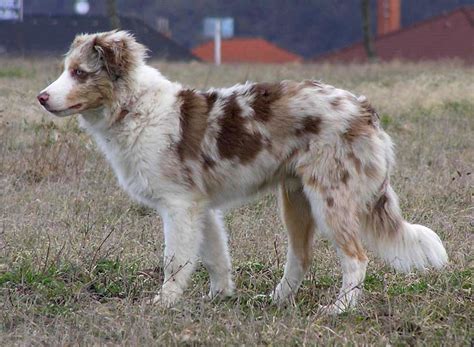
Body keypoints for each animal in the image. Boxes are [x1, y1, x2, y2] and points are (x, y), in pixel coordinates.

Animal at [38, 31, 448, 314]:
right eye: (64, 70)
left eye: (79, 72)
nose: (41, 97)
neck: (134, 107)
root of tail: (364, 109)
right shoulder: (201, 208)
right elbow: (215, 258)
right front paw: (219, 297)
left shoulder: (179, 206)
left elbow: (175, 261)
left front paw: (163, 303)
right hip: (296, 199)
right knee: (301, 257)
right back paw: (276, 299)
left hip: (330, 199)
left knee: (356, 258)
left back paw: (340, 309)